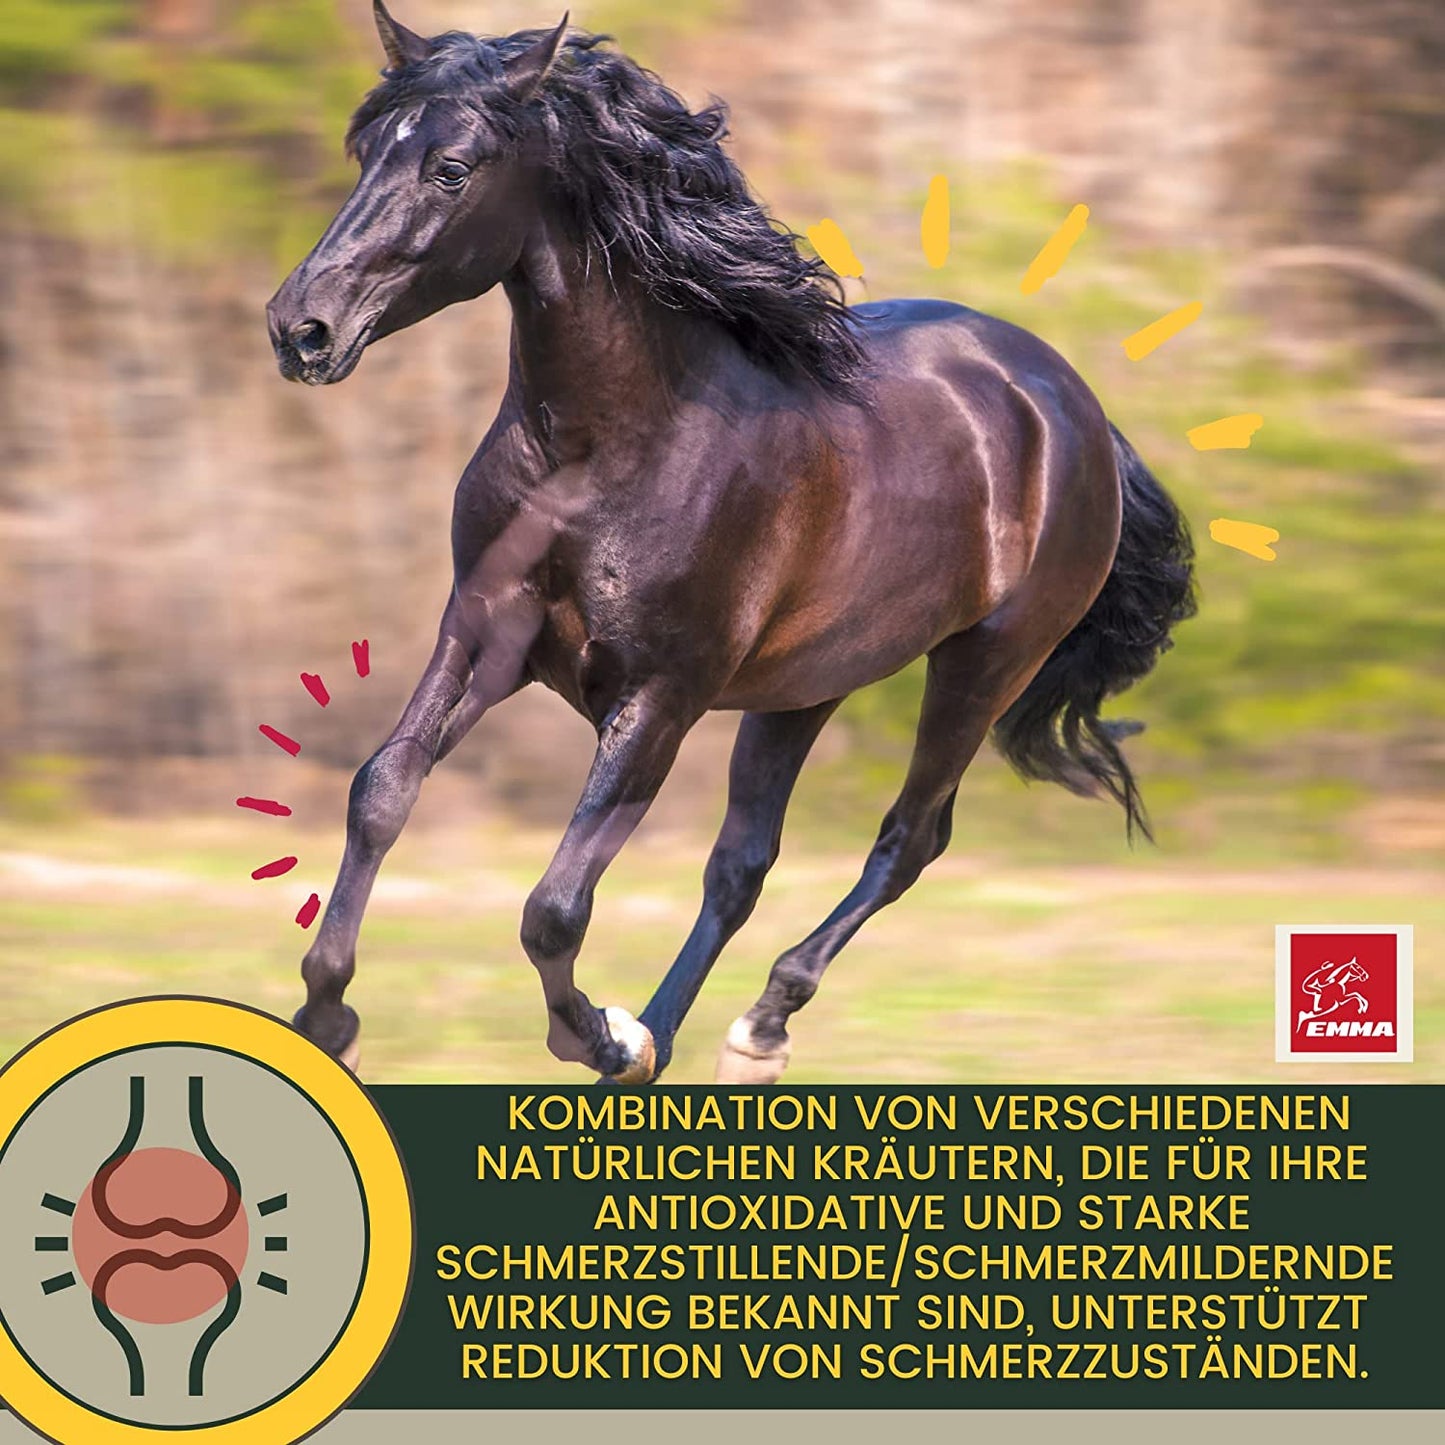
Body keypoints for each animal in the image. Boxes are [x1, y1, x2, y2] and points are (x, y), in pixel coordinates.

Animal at [265, 5, 1197, 1085]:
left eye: (451, 167)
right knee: (743, 861)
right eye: (366, 148)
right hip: (806, 683)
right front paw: (328, 1015)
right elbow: (383, 789)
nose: (301, 328)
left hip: (984, 663)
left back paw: (749, 1029)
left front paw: (594, 1032)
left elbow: (554, 905)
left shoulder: (660, 693)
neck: (607, 446)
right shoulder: (484, 632)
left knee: (908, 837)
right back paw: (674, 1039)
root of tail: (1069, 402)